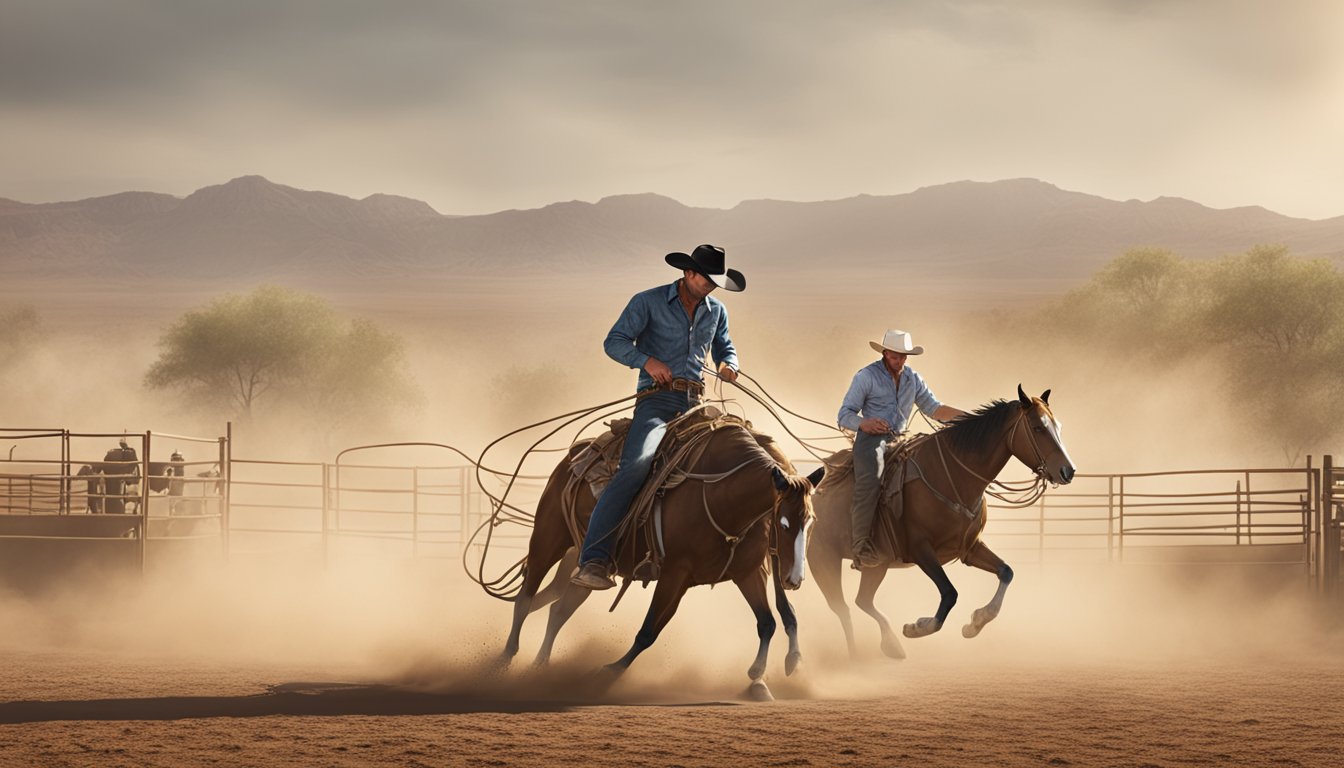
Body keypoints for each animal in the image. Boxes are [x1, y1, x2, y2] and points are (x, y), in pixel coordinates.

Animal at [505, 416, 811, 699]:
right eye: (783, 524)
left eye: (809, 520)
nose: (794, 579)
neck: (722, 496)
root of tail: (574, 455)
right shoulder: (675, 572)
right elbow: (649, 630)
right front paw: (607, 672)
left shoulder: (746, 572)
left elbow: (768, 622)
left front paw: (761, 673)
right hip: (548, 538)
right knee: (525, 599)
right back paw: (503, 663)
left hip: (585, 566)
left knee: (559, 610)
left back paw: (539, 666)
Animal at [801, 387, 1075, 659]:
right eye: (1038, 428)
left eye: (1058, 426)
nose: (1068, 471)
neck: (952, 476)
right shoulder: (921, 549)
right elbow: (950, 593)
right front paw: (918, 627)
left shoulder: (969, 548)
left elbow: (1006, 572)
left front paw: (976, 622)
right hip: (823, 560)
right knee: (843, 608)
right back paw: (857, 654)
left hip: (878, 564)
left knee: (862, 601)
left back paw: (890, 644)